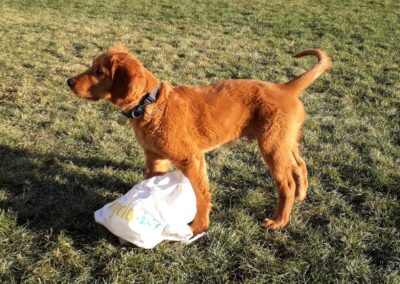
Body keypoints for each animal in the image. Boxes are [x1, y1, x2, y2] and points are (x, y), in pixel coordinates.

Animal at [68, 46, 332, 233]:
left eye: (99, 72)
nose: (68, 82)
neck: (151, 105)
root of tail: (285, 87)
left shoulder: (191, 159)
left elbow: (201, 194)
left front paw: (199, 226)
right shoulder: (156, 159)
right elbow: (152, 185)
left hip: (271, 146)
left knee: (285, 182)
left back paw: (279, 220)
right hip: (285, 140)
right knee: (300, 165)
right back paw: (300, 195)